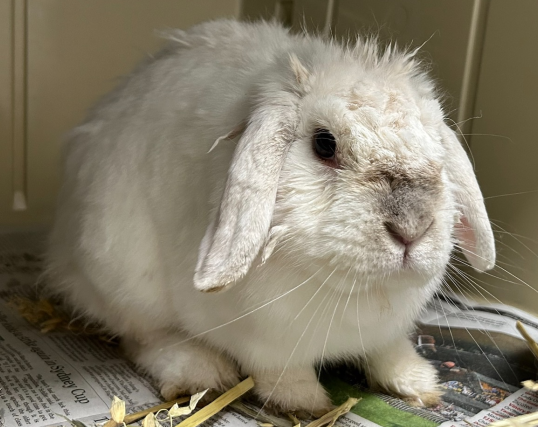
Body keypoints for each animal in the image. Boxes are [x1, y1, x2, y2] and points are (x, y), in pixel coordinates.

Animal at [45, 19, 495, 416]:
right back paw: (199, 372)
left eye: (436, 146)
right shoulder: (266, 344)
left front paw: (421, 385)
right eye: (324, 144)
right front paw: (306, 404)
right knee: (142, 337)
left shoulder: (388, 333)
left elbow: (390, 352)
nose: (411, 228)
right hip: (123, 279)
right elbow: (282, 372)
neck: (358, 292)